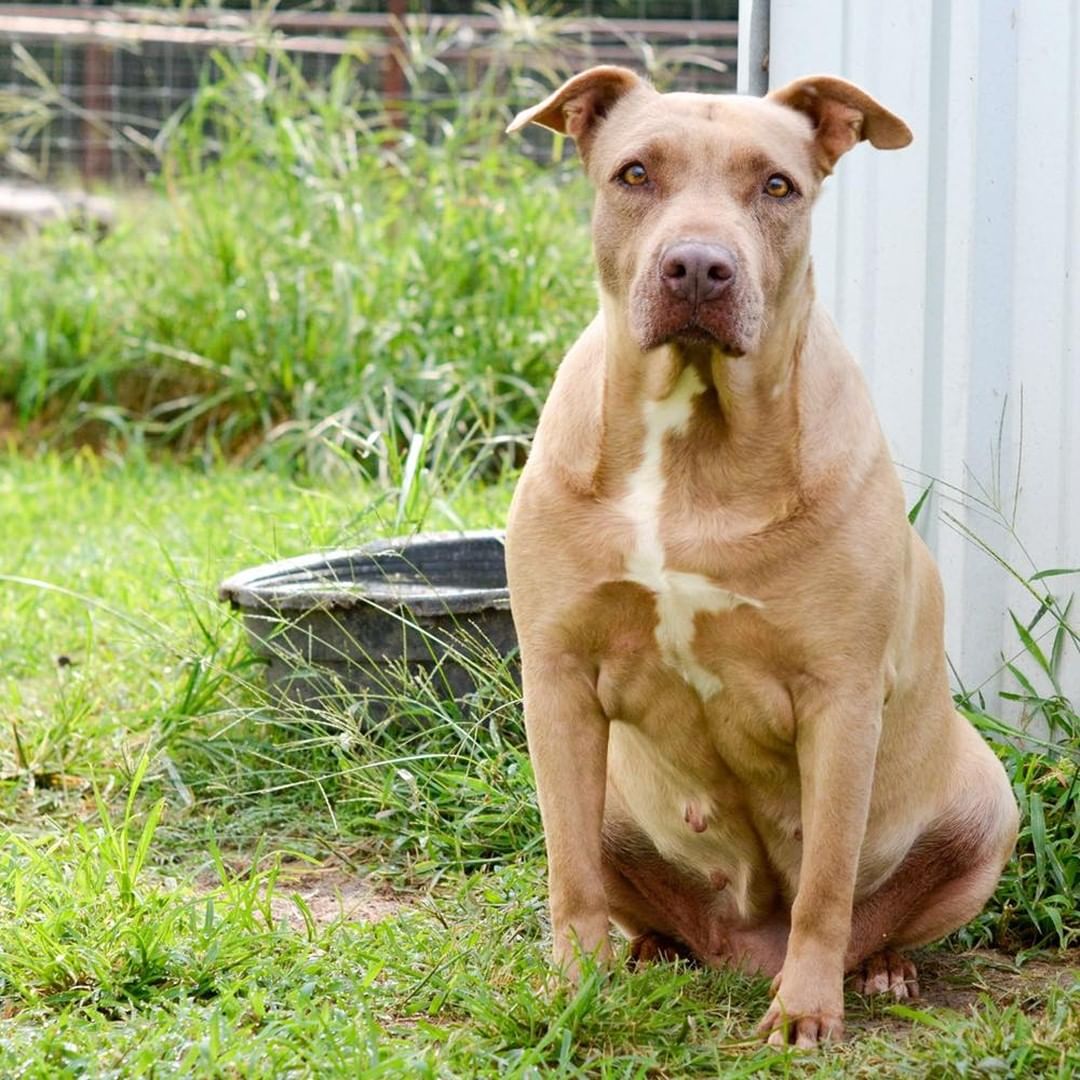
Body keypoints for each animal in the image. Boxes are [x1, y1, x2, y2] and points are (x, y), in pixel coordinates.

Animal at [501, 67, 1015, 1045]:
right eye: (634, 173)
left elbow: (825, 888)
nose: (699, 266)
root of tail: (741, 947)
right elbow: (568, 869)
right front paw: (570, 990)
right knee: (632, 888)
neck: (695, 441)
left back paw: (880, 970)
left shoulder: (840, 701)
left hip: (988, 809)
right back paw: (651, 950)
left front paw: (807, 1014)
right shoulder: (557, 680)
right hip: (621, 804)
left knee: (868, 918)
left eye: (778, 186)